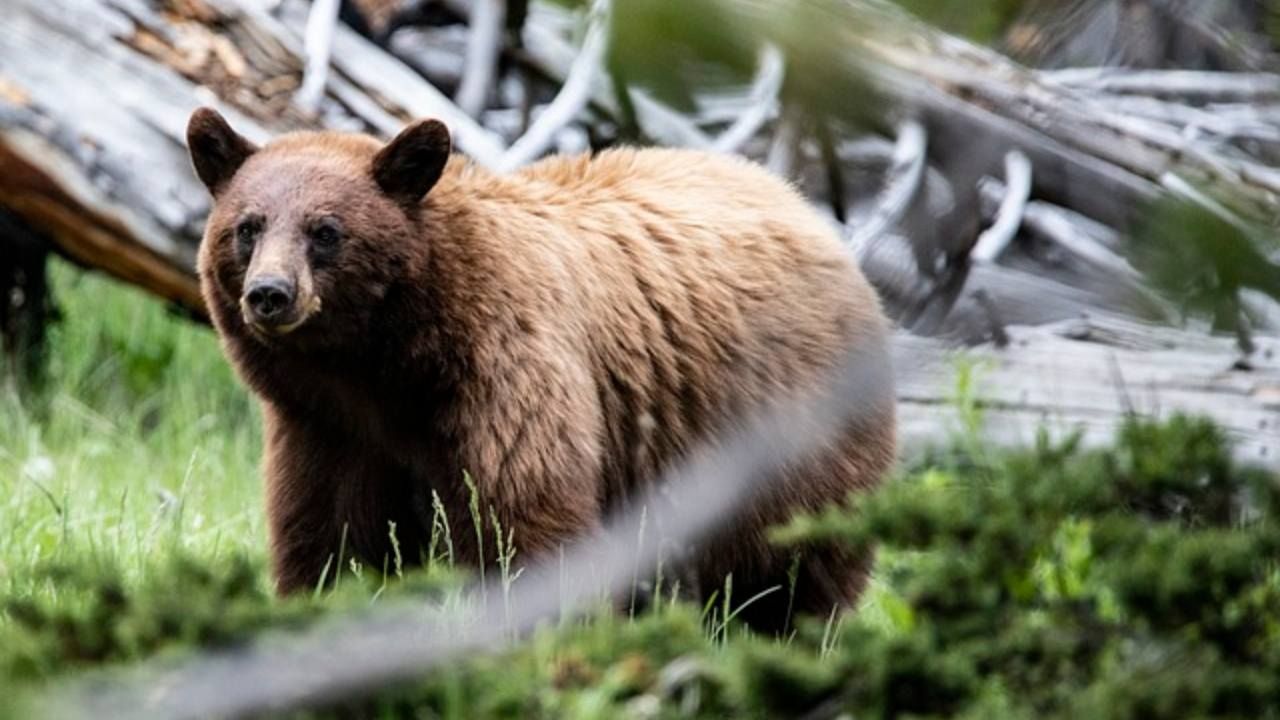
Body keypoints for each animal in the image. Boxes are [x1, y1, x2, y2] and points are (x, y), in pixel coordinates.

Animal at [185, 106, 896, 627]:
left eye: (326, 231)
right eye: (248, 226)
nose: (270, 294)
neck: (384, 364)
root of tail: (809, 212)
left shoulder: (506, 365)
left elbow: (525, 516)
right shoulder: (328, 426)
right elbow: (332, 535)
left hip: (788, 428)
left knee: (794, 566)